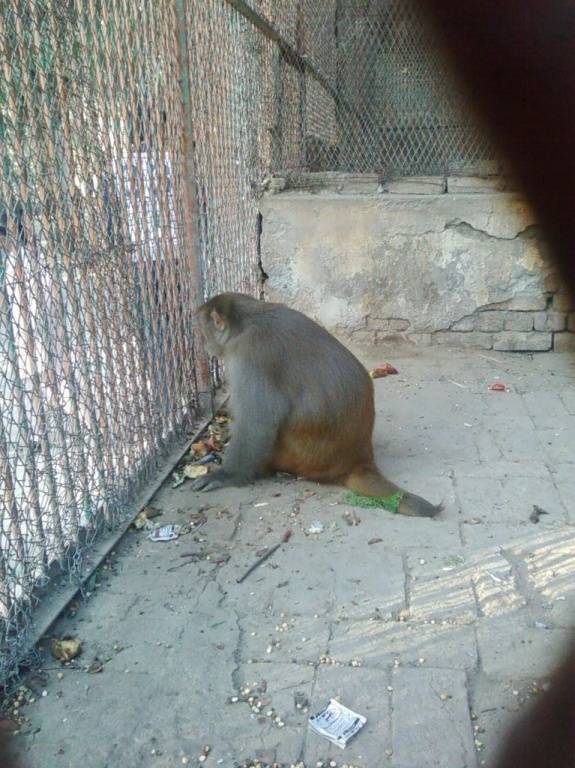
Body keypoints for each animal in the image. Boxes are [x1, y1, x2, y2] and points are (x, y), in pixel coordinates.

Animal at [190, 292, 441, 517]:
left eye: (203, 332)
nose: (203, 345)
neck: (247, 322)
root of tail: (358, 460)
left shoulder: (251, 355)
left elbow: (257, 425)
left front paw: (226, 474)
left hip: (298, 457)